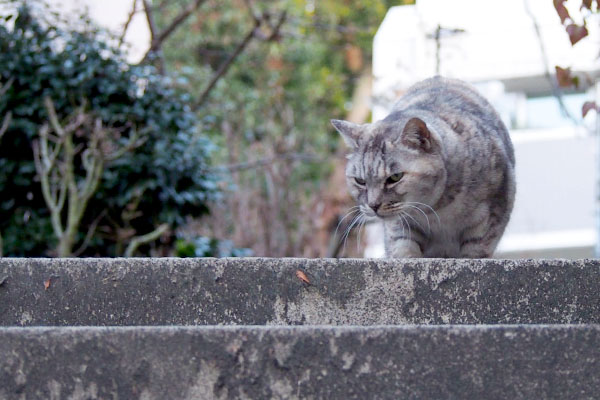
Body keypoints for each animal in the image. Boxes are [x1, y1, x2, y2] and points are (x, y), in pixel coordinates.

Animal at [332, 76, 516, 258]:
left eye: (395, 177)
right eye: (360, 181)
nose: (373, 205)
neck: (438, 210)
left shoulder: (488, 219)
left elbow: (475, 251)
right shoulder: (400, 226)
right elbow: (403, 248)